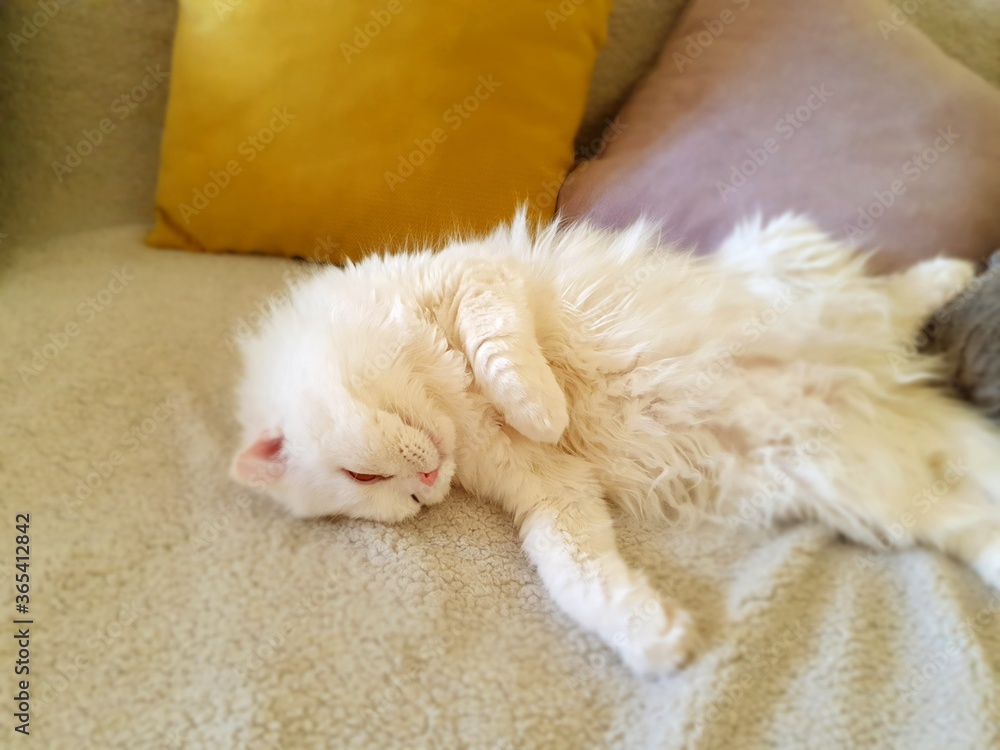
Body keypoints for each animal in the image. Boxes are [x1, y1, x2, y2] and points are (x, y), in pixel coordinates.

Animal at [230, 214, 1000, 680]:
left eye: (361, 477)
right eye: (392, 503)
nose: (423, 489)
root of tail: (891, 392)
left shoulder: (472, 277)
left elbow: (503, 351)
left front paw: (542, 406)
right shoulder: (550, 489)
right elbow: (576, 573)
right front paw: (654, 638)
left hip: (783, 259)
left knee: (890, 297)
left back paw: (951, 273)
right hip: (874, 496)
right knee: (977, 523)